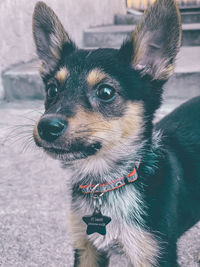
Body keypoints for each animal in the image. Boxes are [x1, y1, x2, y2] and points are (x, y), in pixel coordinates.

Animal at [32, 0, 200, 266]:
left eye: (106, 92)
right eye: (52, 90)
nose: (47, 126)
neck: (107, 183)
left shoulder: (156, 253)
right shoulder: (85, 248)